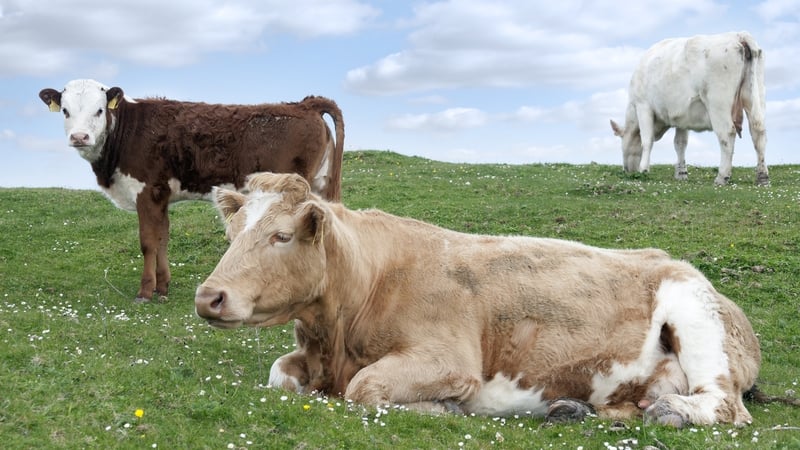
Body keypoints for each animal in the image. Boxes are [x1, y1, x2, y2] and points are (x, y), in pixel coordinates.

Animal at [38, 79, 344, 302]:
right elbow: (162, 238)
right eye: (65, 111)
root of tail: (305, 104)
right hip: (321, 184)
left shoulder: (146, 191)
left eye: (99, 110)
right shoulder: (161, 195)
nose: (79, 137)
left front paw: (145, 292)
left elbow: (147, 242)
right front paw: (163, 288)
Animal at [194, 172, 762, 427]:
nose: (209, 297)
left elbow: (364, 388)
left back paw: (670, 411)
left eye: (282, 236)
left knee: (724, 404)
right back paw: (575, 407)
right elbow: (280, 374)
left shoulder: (449, 359)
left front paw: (441, 407)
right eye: (232, 232)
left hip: (695, 315)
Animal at [610, 31, 769, 186]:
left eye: (621, 144)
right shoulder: (682, 117)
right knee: (758, 131)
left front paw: (644, 169)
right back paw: (762, 177)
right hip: (755, 96)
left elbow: (647, 140)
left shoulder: (643, 105)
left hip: (718, 104)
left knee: (727, 133)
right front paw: (681, 173)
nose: (627, 170)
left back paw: (721, 177)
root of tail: (738, 35)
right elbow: (680, 143)